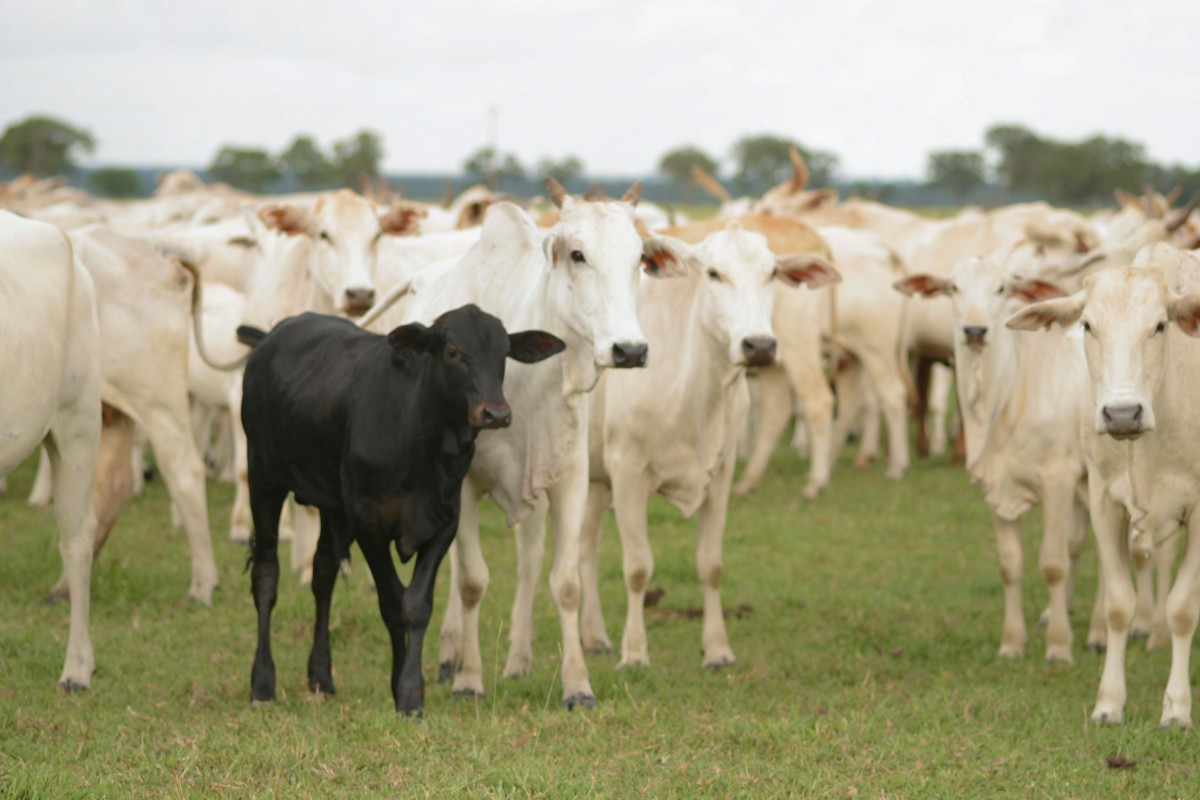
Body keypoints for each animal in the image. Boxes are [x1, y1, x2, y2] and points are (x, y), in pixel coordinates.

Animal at [576, 220, 840, 671]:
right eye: (714, 273)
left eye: (772, 273)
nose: (760, 346)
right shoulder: (628, 473)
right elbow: (637, 567)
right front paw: (635, 652)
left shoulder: (720, 475)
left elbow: (710, 565)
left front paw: (717, 649)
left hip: (595, 479)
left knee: (586, 546)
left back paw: (593, 635)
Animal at [1008, 247, 1200, 729]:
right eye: (1088, 326)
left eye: (1160, 325)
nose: (1123, 413)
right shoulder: (1103, 501)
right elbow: (1117, 605)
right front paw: (1109, 703)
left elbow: (1182, 609)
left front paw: (1176, 708)